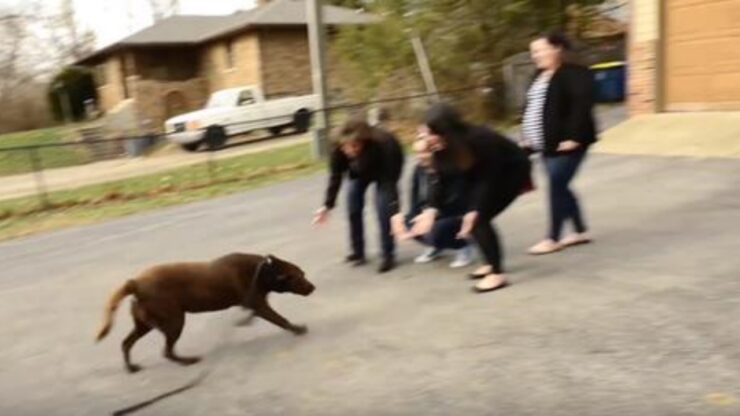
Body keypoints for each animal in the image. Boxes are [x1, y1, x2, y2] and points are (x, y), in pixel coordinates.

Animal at [94, 254, 314, 374]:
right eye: (299, 277)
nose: (313, 287)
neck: (263, 271)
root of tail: (135, 283)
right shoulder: (259, 305)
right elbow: (281, 319)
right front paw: (297, 329)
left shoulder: (255, 305)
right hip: (174, 320)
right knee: (166, 351)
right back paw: (187, 361)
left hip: (144, 324)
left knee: (126, 343)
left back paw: (131, 368)